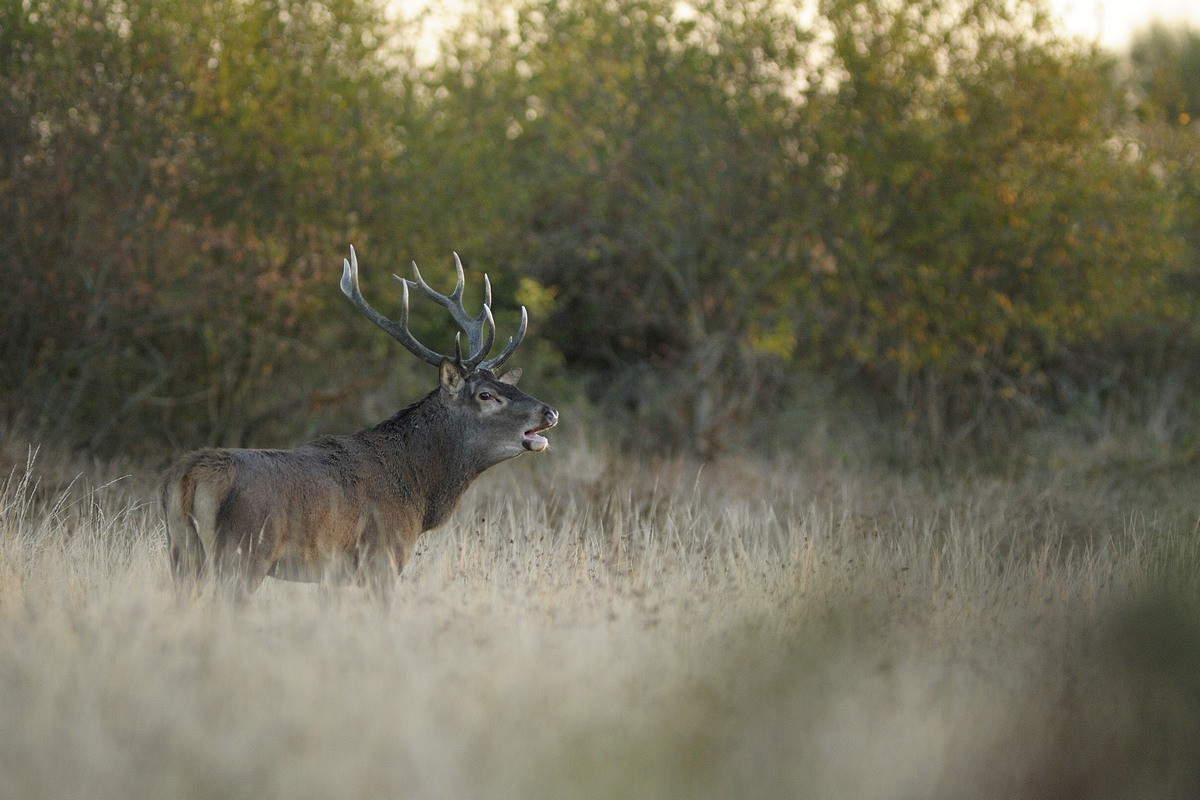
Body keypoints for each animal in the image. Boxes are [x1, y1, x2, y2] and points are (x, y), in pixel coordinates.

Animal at [162, 247, 559, 597]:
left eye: (508, 385)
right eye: (486, 395)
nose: (549, 412)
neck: (418, 492)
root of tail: (189, 474)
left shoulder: (334, 575)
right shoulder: (381, 556)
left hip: (181, 552)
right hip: (244, 553)